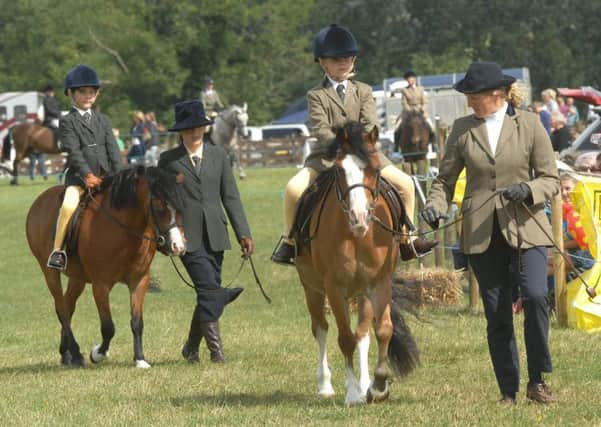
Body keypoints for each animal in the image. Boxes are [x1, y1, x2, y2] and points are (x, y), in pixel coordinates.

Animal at [294, 122, 418, 406]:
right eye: (340, 170)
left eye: (375, 169)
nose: (359, 218)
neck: (357, 236)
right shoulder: (334, 288)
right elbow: (344, 338)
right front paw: (351, 393)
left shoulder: (378, 283)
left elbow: (382, 331)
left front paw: (378, 386)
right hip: (311, 289)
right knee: (321, 329)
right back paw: (326, 385)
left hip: (362, 293)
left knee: (363, 333)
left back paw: (365, 385)